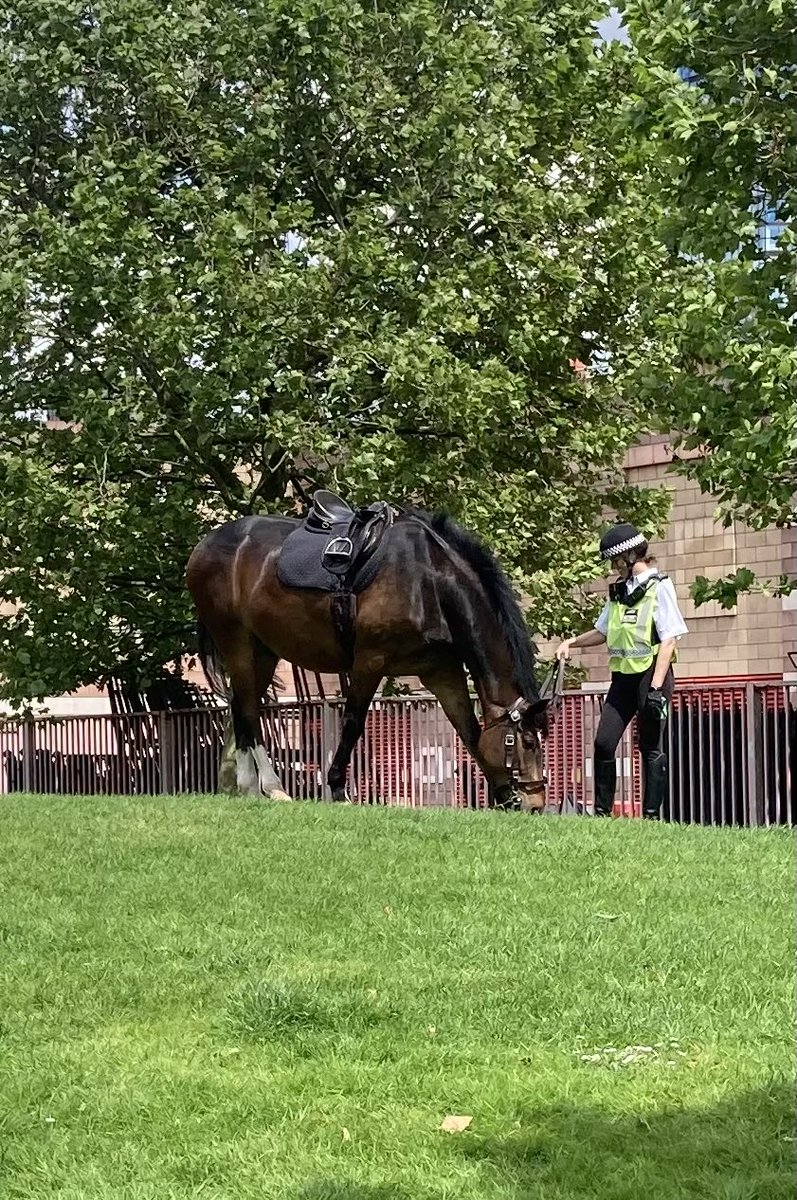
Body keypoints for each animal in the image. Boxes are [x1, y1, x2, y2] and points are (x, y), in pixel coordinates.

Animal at [184, 501, 547, 811]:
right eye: (528, 741)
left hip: (263, 651)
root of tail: (205, 545)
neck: (430, 580)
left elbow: (470, 732)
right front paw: (337, 787)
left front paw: (503, 794)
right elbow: (353, 722)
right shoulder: (369, 662)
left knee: (242, 708)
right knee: (245, 709)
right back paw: (263, 786)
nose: (536, 803)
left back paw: (257, 787)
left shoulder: (443, 672)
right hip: (237, 642)